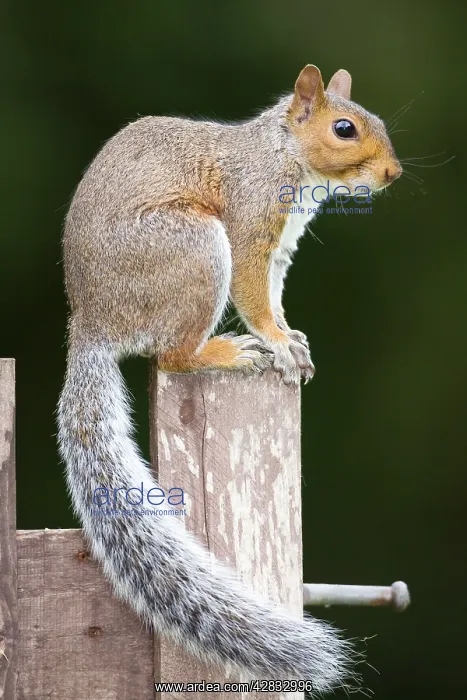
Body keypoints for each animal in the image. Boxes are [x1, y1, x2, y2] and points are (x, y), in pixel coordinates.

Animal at [57, 65, 401, 694]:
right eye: (344, 128)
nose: (392, 173)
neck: (284, 155)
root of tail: (92, 326)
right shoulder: (250, 222)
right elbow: (254, 295)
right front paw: (277, 343)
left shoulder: (283, 248)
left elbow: (276, 300)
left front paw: (294, 338)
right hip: (192, 250)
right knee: (172, 358)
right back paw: (227, 352)